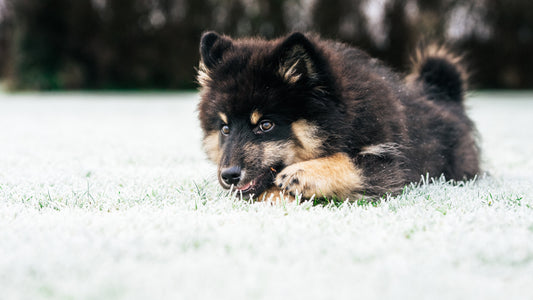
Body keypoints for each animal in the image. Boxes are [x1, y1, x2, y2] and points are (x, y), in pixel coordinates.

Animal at [195, 31, 478, 202]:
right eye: (225, 129)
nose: (228, 175)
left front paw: (304, 174)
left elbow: (350, 162)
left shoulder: (389, 163)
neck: (345, 117)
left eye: (265, 125)